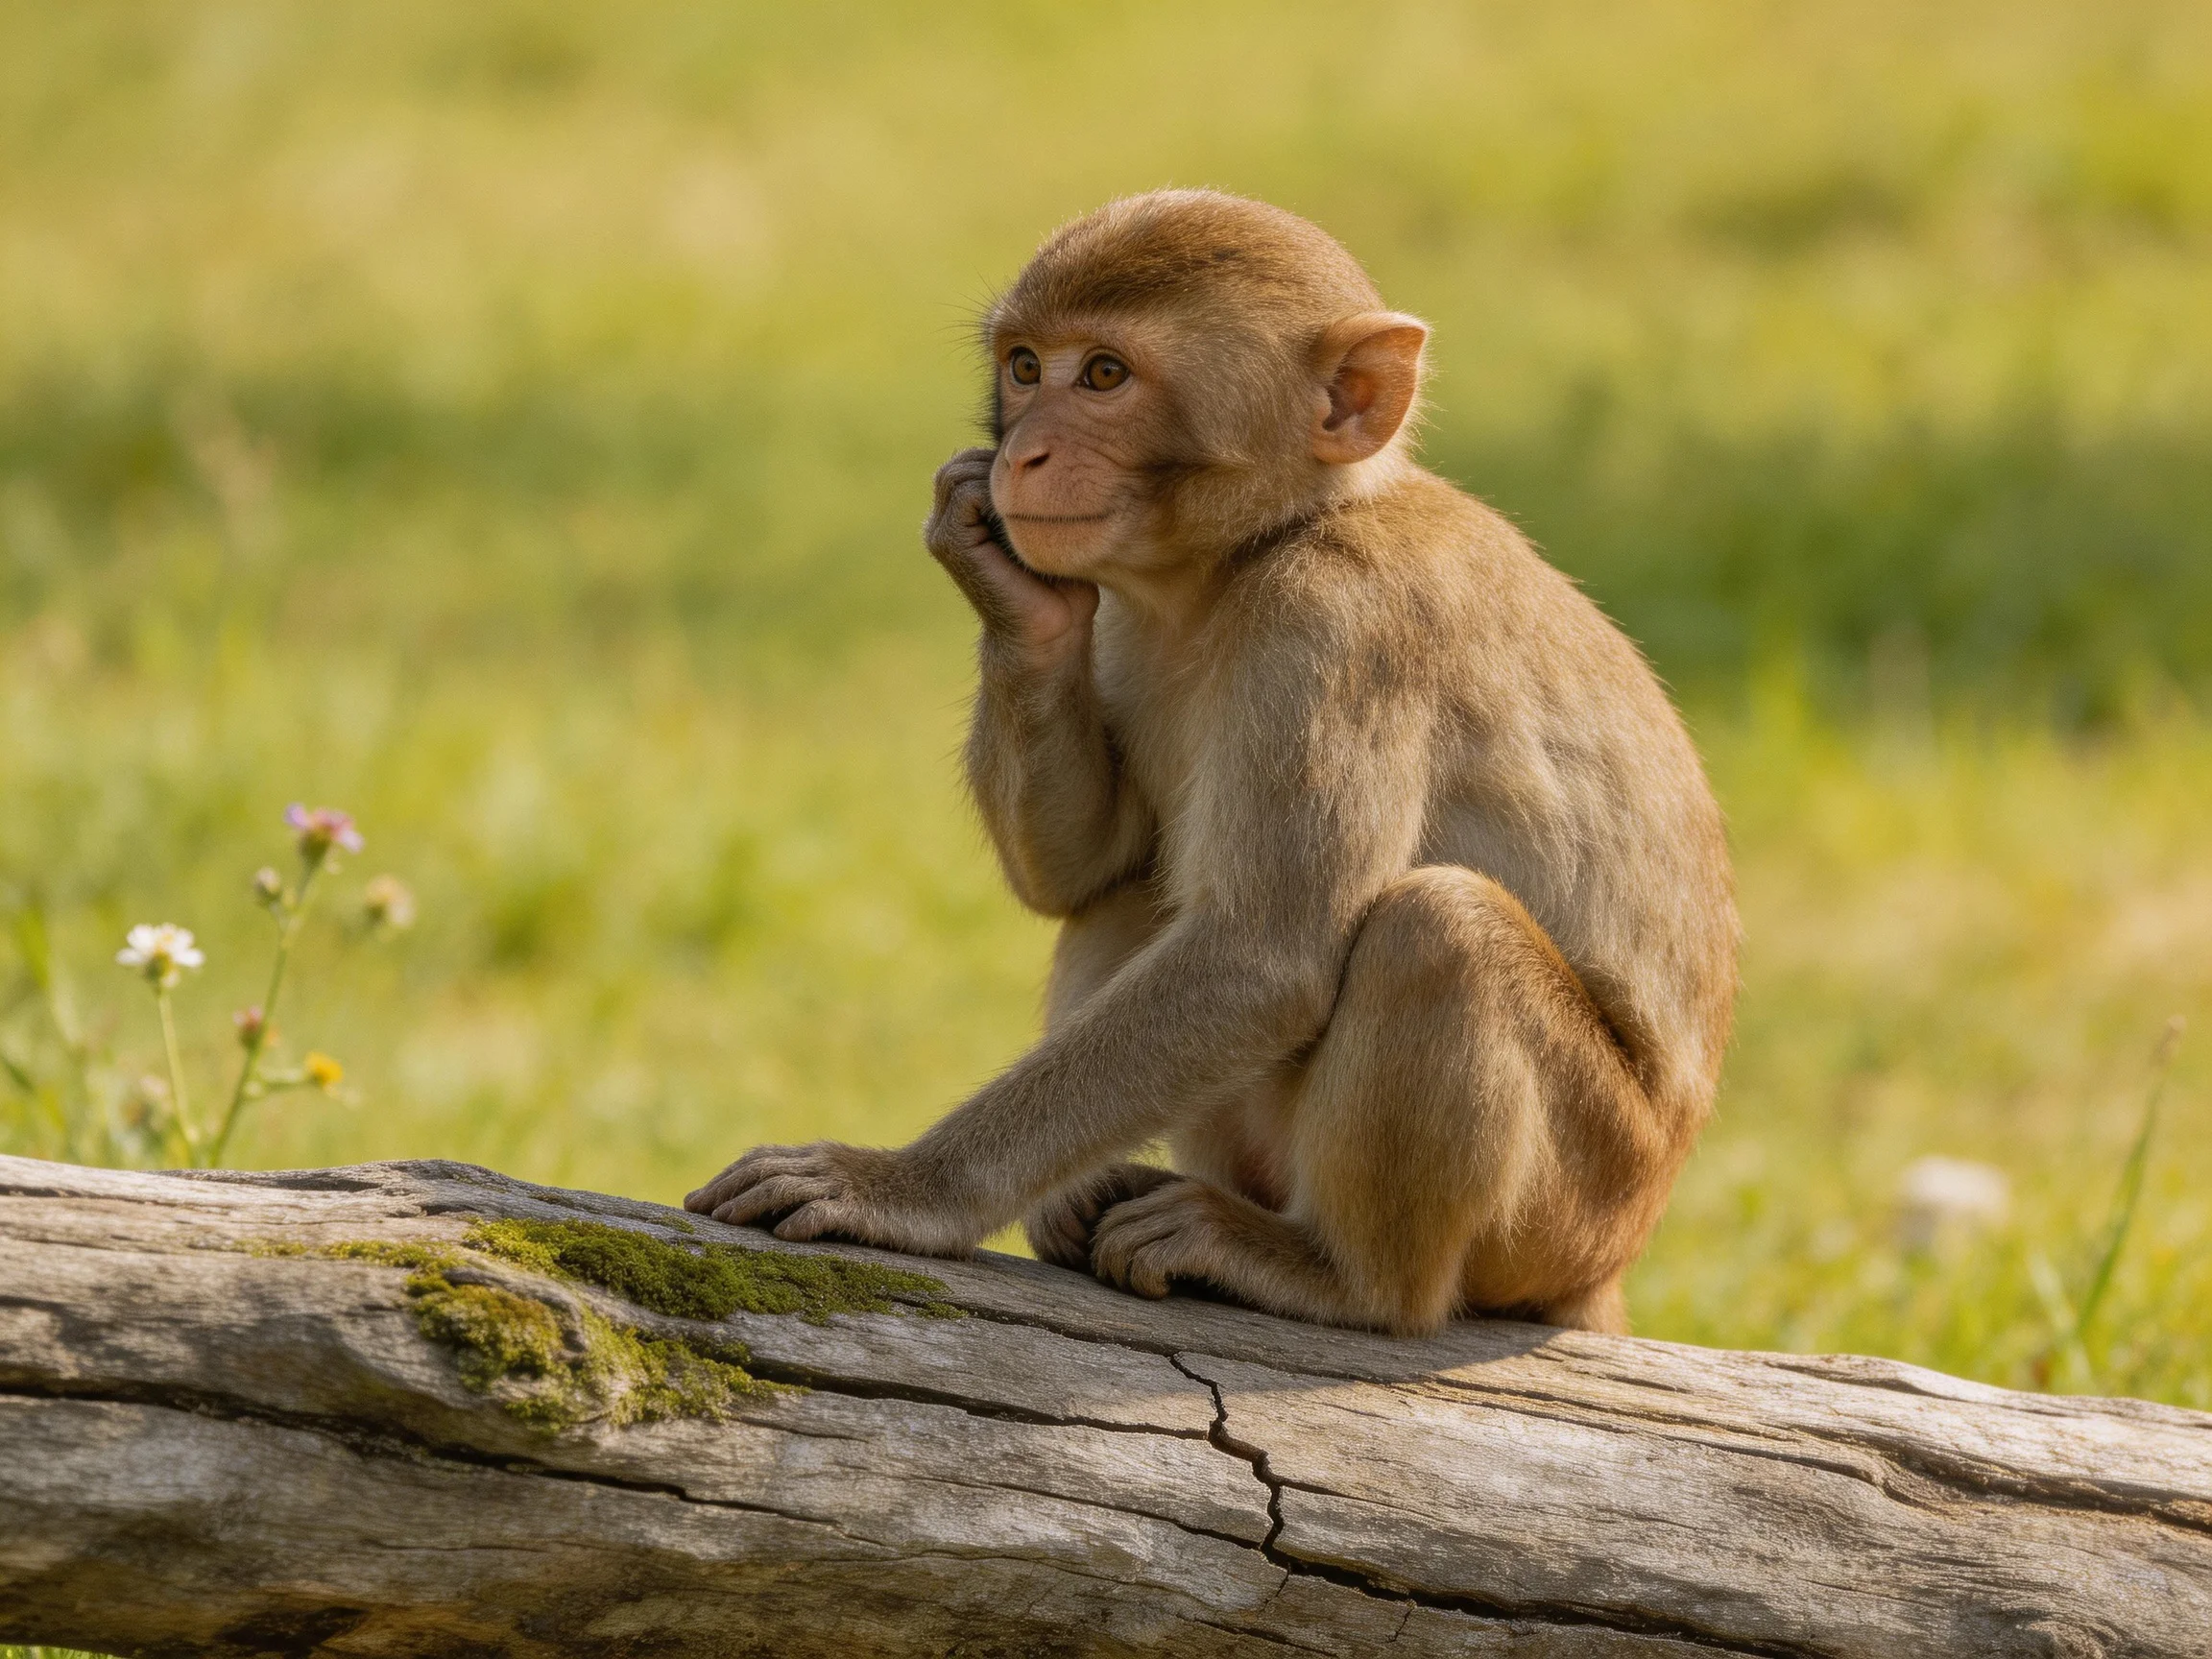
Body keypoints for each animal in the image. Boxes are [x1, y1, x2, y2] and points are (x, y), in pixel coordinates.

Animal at [687, 189, 1737, 1337]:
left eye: (1104, 376)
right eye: (1025, 367)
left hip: (1577, 1204)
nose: (1022, 458)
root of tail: (1613, 1262)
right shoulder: (1120, 613)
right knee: (1130, 894)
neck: (1254, 551)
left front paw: (898, 1188)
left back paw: (1341, 1277)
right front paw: (999, 581)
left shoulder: (1339, 623)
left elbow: (1261, 953)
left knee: (1435, 930)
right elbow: (1084, 871)